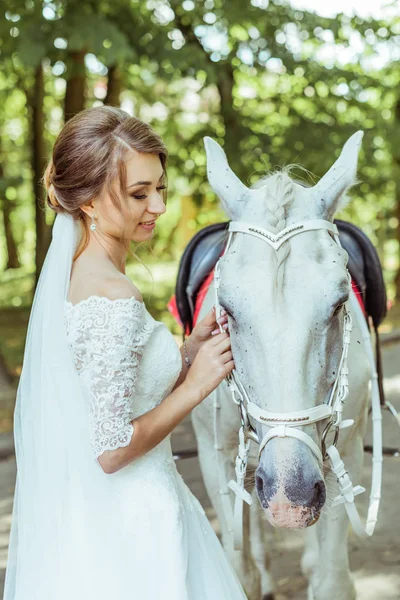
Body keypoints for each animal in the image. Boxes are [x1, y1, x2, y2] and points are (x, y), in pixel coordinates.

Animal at [191, 132, 372, 600]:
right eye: (227, 309)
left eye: (340, 302)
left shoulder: (345, 452)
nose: (289, 498)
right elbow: (239, 571)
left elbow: (332, 580)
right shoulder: (214, 455)